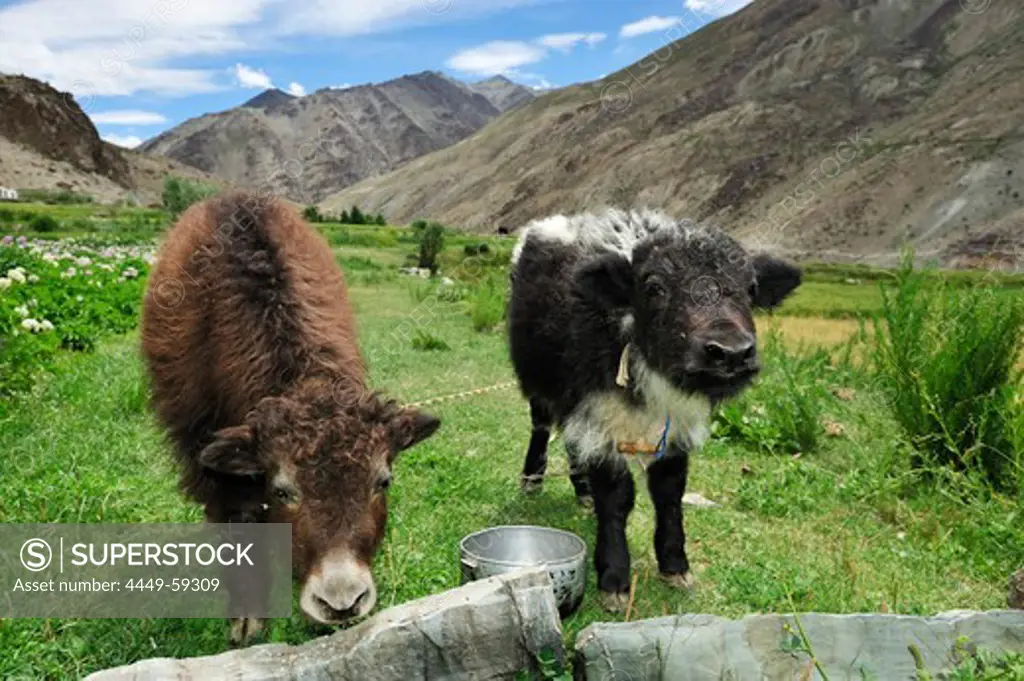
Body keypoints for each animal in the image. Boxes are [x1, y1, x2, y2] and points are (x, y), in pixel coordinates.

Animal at [507, 209, 802, 606]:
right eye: (654, 287)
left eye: (750, 288)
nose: (731, 353)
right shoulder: (601, 419)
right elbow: (617, 498)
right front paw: (614, 579)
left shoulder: (675, 428)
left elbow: (669, 493)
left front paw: (675, 566)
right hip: (539, 383)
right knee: (541, 428)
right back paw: (532, 481)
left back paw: (583, 494)